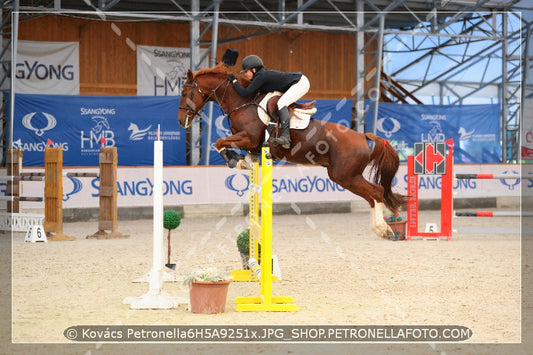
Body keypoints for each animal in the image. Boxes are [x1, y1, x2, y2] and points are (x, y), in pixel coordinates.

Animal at [179, 64, 408, 239]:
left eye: (184, 93)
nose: (181, 121)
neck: (242, 103)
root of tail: (362, 136)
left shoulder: (249, 138)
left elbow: (219, 142)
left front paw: (234, 160)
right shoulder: (251, 145)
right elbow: (231, 148)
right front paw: (240, 160)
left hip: (345, 175)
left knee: (376, 192)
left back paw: (384, 229)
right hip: (344, 176)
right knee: (373, 194)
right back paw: (382, 229)